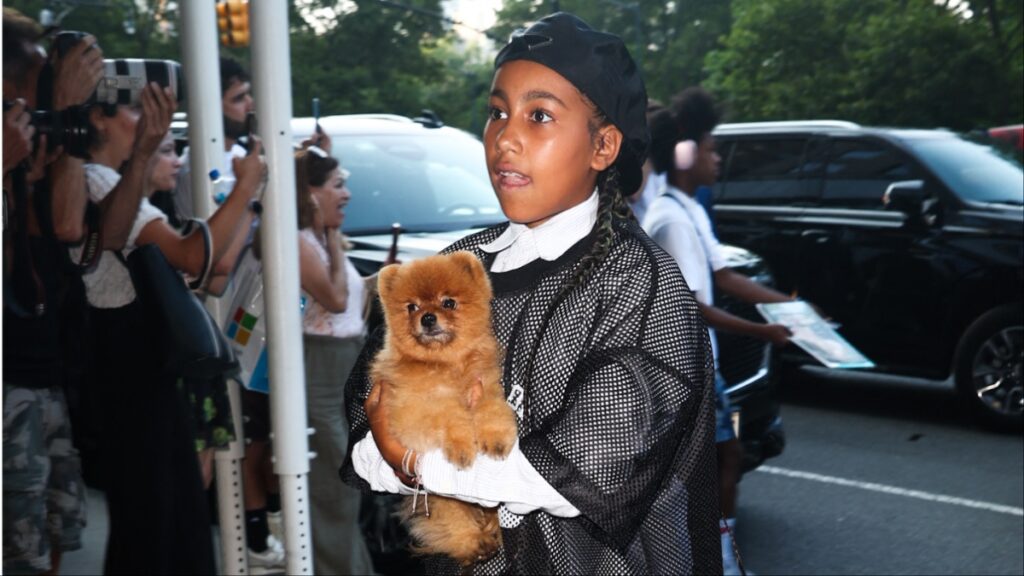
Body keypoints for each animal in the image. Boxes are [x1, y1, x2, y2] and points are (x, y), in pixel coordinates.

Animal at [370, 252, 520, 565]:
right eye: (412, 307)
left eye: (448, 302)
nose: (427, 317)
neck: (446, 364)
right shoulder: (412, 413)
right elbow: (451, 414)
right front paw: (461, 447)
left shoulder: (486, 387)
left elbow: (492, 411)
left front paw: (496, 440)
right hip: (442, 501)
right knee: (452, 525)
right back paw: (475, 542)